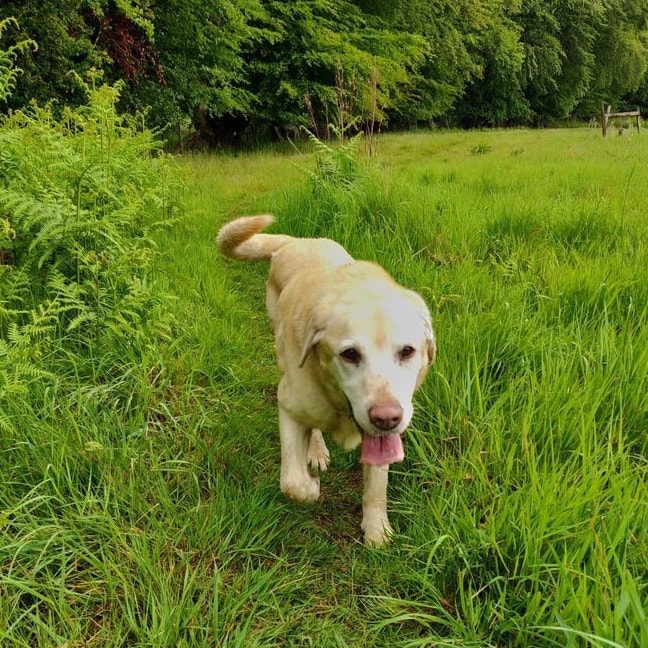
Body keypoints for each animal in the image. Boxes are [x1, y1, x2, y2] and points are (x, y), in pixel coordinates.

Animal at [216, 215, 436, 544]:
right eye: (350, 354)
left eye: (407, 351)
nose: (387, 418)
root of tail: (295, 241)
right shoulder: (288, 403)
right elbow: (292, 482)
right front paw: (311, 486)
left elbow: (376, 485)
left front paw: (376, 529)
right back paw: (316, 451)